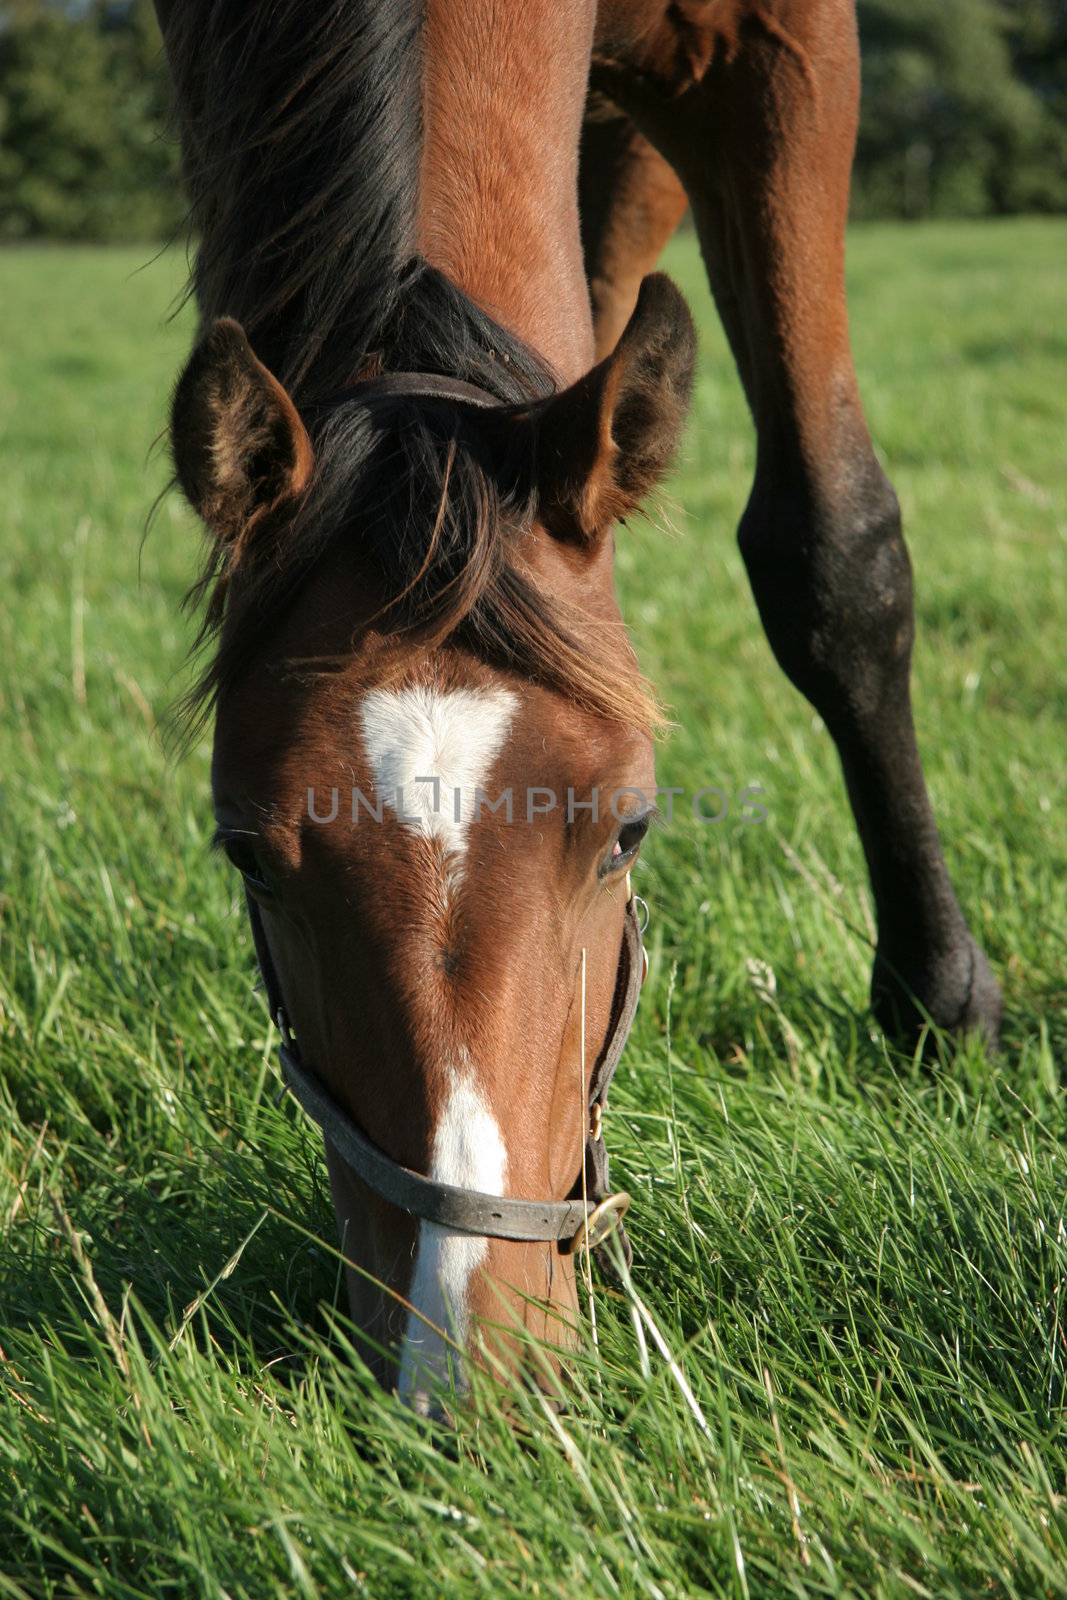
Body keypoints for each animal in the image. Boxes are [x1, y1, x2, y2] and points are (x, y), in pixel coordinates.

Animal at [156, 0, 1004, 1414]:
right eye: (248, 857)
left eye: (627, 834)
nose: (467, 1358)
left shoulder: (781, 50)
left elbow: (834, 552)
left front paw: (937, 1009)